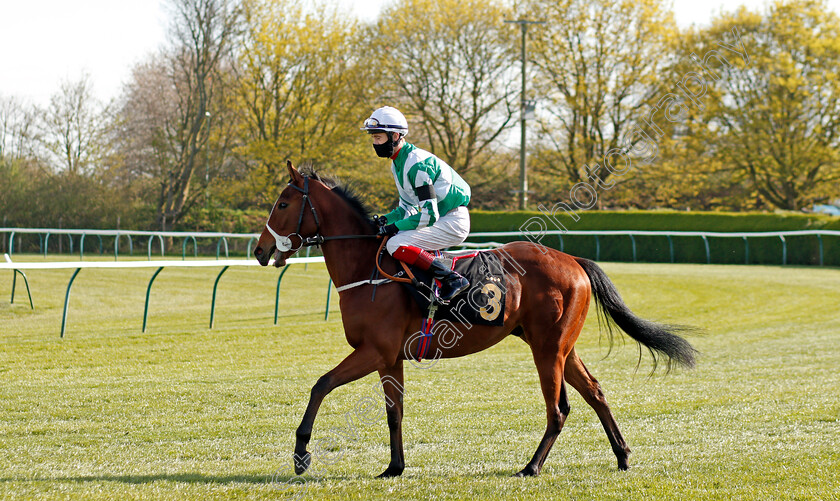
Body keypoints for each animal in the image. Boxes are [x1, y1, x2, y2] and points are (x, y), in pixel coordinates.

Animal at [254, 161, 696, 476]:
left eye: (283, 203)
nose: (260, 251)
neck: (370, 270)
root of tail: (573, 260)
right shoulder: (390, 358)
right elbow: (394, 412)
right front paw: (394, 467)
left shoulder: (373, 351)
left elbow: (320, 385)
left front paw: (301, 453)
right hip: (561, 347)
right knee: (595, 393)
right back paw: (622, 456)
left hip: (548, 348)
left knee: (557, 410)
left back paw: (531, 466)